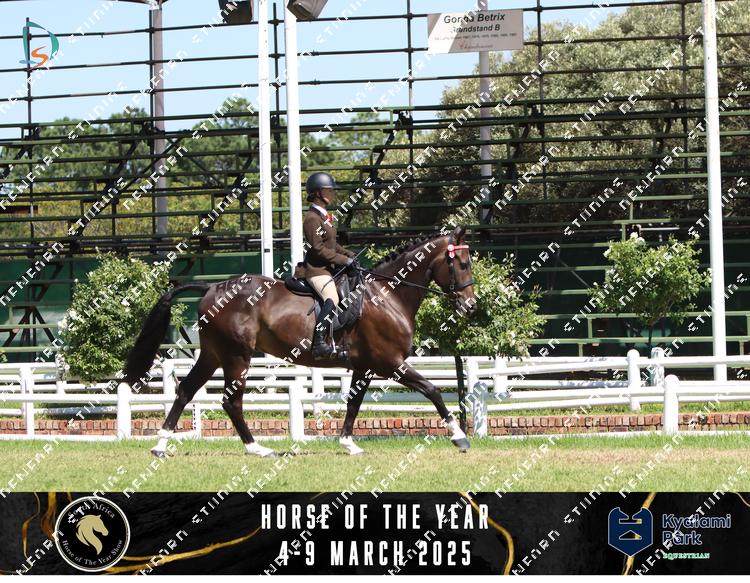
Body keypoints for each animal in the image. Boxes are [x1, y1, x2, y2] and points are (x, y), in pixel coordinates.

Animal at [124, 225, 477, 457]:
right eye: (462, 264)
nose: (470, 306)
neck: (387, 295)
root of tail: (212, 287)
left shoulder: (364, 366)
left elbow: (353, 403)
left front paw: (348, 443)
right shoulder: (390, 362)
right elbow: (432, 390)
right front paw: (459, 437)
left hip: (212, 354)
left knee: (185, 391)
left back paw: (160, 445)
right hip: (237, 356)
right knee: (231, 401)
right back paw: (257, 448)